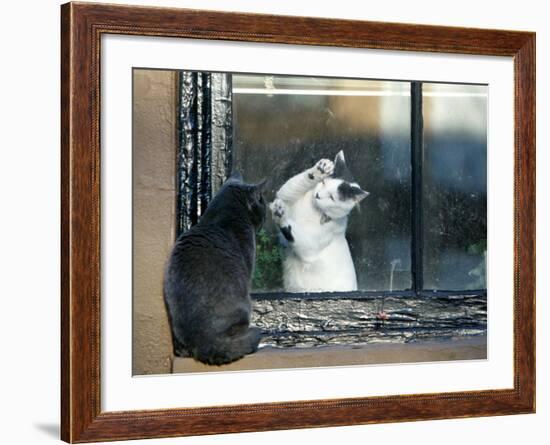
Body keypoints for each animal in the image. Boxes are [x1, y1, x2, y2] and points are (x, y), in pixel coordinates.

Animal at [272, 151, 370, 294]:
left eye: (332, 197)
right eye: (323, 182)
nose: (317, 195)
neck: (314, 210)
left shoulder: (309, 249)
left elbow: (290, 231)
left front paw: (281, 216)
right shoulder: (285, 197)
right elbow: (289, 189)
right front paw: (320, 170)